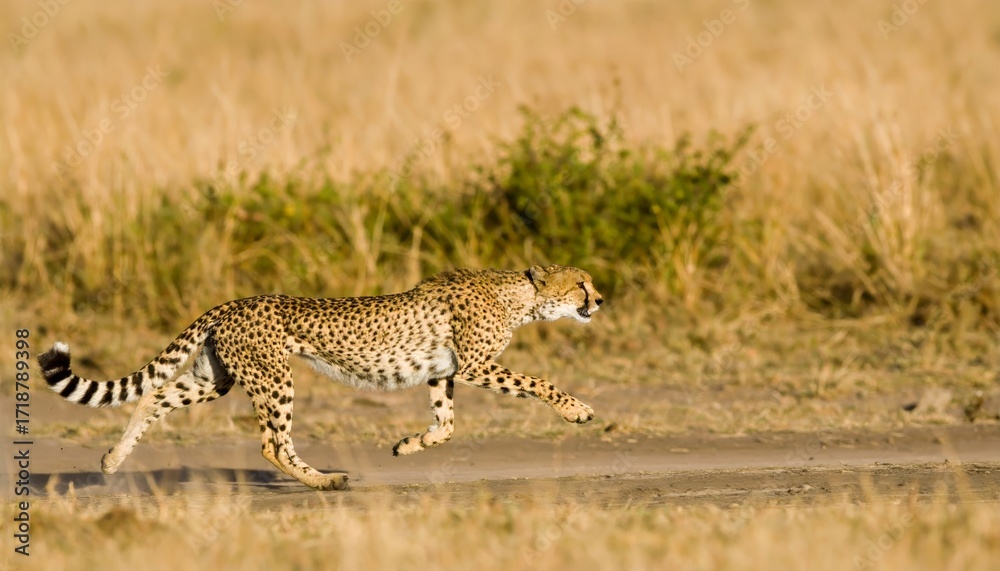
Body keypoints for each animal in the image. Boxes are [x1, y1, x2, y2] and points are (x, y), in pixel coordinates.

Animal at [37, 264, 602, 490]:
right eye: (580, 284)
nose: (600, 300)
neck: (521, 295)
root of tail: (231, 302)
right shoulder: (478, 366)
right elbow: (539, 383)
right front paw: (577, 410)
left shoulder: (443, 372)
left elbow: (445, 426)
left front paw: (408, 445)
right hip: (273, 378)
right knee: (272, 444)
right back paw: (324, 480)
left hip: (215, 378)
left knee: (152, 396)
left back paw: (112, 461)